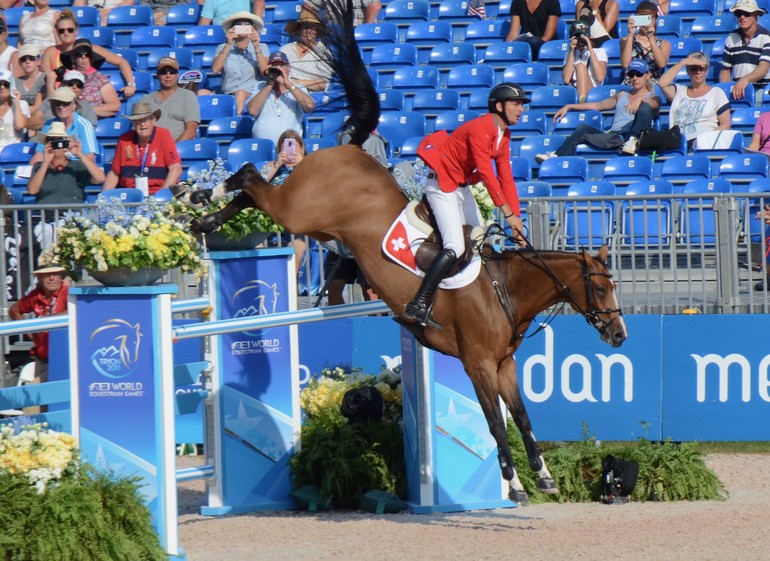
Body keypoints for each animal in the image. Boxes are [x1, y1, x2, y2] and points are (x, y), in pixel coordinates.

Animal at [184, 1, 624, 504]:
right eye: (599, 288)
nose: (620, 335)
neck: (505, 293)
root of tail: (351, 150)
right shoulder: (478, 365)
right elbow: (496, 423)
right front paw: (514, 484)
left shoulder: (505, 365)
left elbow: (523, 416)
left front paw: (543, 474)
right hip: (297, 212)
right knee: (251, 175)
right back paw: (200, 202)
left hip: (305, 220)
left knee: (253, 188)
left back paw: (206, 219)